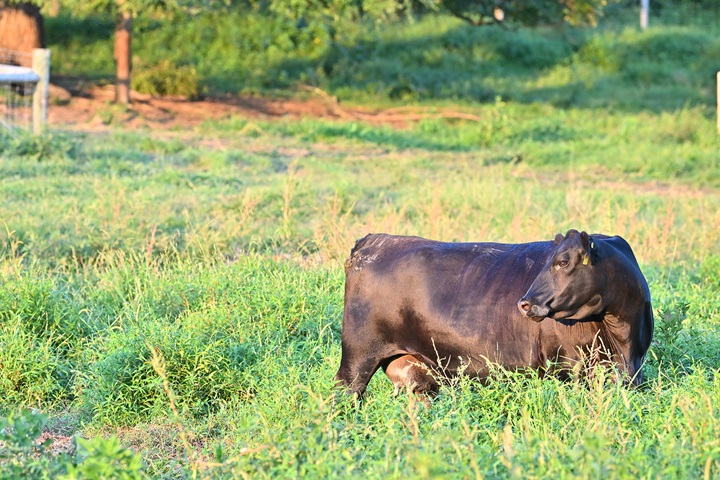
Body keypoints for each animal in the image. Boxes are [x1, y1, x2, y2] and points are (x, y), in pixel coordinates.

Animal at [334, 230, 654, 397]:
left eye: (563, 262)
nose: (524, 303)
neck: (622, 340)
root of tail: (375, 239)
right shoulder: (570, 368)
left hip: (415, 371)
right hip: (358, 356)